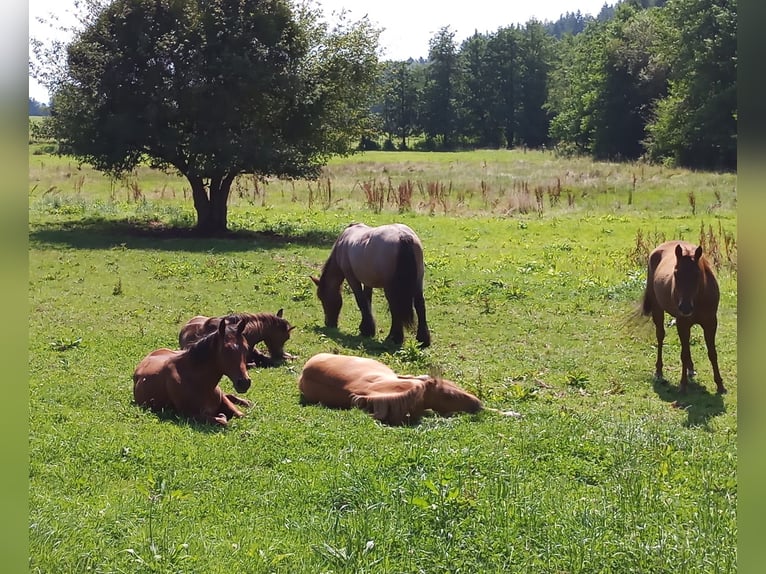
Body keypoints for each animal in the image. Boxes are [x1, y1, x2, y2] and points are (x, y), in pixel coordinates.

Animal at [640, 240, 728, 396]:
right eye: (676, 273)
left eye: (697, 274)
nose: (685, 308)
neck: (699, 298)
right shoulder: (683, 323)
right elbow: (684, 354)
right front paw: (683, 385)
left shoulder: (711, 323)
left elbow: (712, 353)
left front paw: (720, 385)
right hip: (658, 310)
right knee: (660, 336)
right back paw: (659, 371)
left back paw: (690, 369)